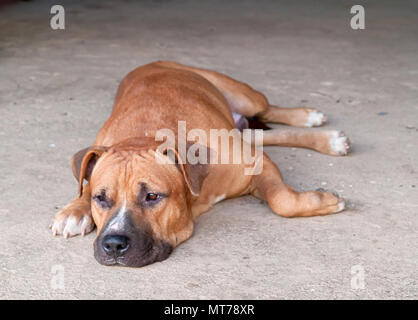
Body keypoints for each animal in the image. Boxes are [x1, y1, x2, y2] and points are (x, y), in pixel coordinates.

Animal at [49, 61, 350, 266]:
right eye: (100, 198)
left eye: (152, 196)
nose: (113, 244)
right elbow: (84, 184)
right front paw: (75, 209)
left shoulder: (255, 162)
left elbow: (281, 200)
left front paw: (324, 201)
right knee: (263, 134)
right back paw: (328, 139)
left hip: (244, 96)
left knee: (269, 111)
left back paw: (309, 118)